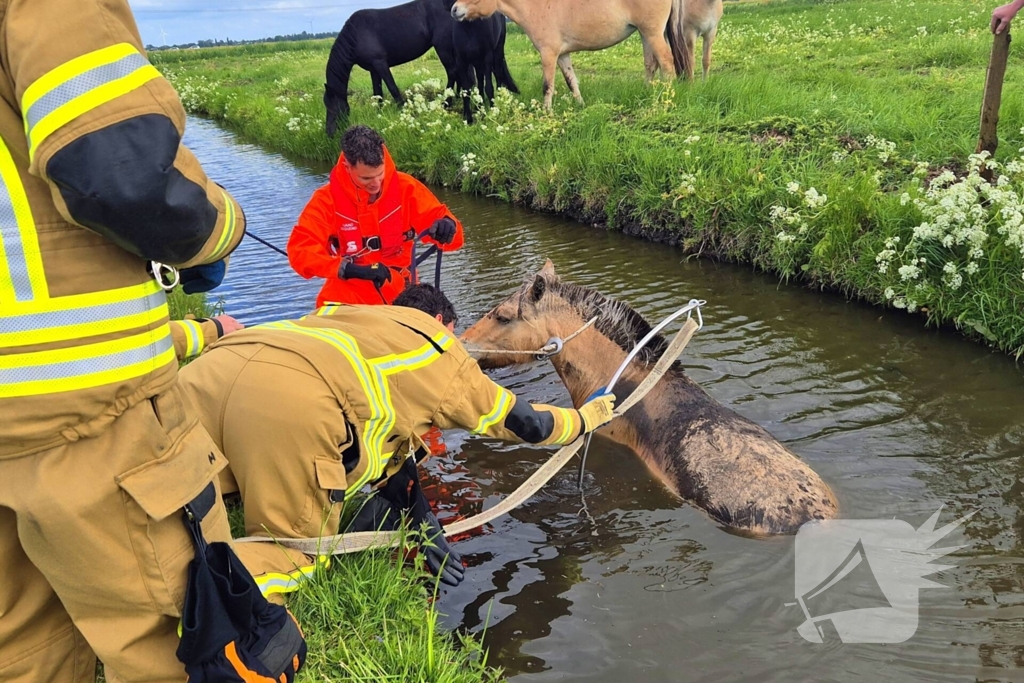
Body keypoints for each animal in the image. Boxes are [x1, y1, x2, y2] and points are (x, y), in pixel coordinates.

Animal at [324, 0, 457, 137]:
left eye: (332, 106)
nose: (329, 133)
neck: (356, 35)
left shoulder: (380, 64)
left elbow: (393, 88)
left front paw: (403, 112)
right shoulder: (373, 69)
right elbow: (377, 93)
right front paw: (379, 113)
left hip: (442, 47)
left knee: (452, 73)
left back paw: (446, 103)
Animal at [450, 0, 688, 109]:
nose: (454, 9)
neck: (535, 7)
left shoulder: (548, 54)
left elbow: (547, 85)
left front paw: (546, 112)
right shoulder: (563, 56)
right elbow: (571, 81)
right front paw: (581, 105)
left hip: (652, 32)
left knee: (666, 62)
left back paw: (667, 97)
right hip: (645, 33)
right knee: (651, 64)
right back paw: (650, 93)